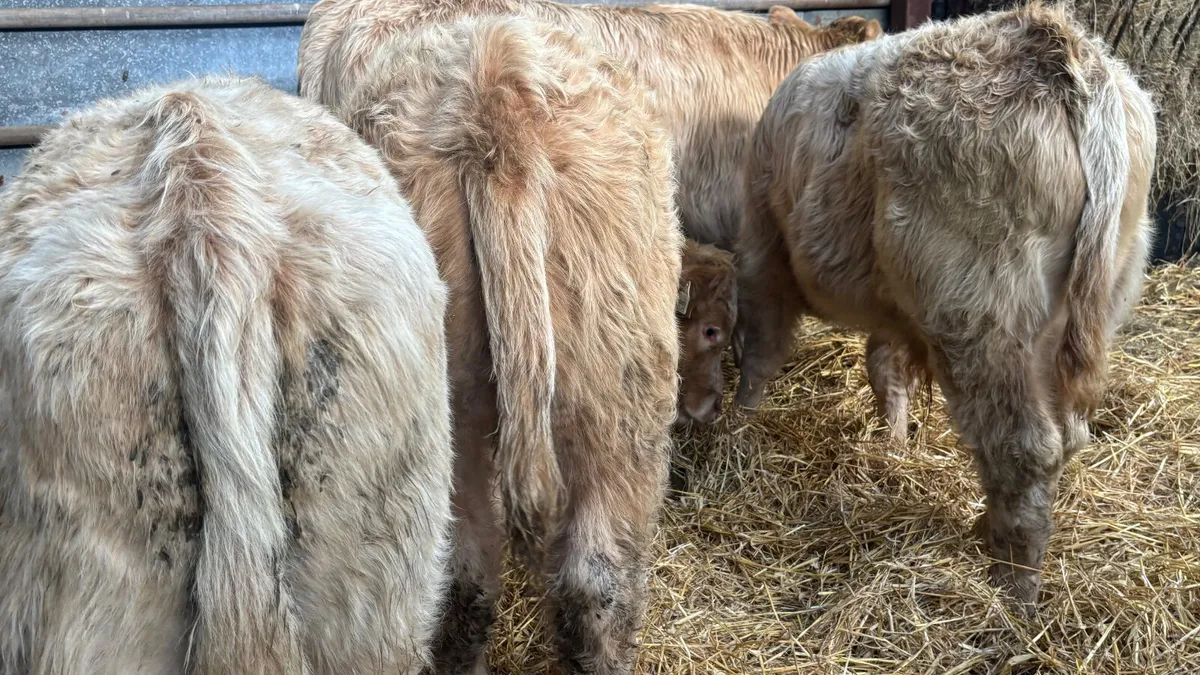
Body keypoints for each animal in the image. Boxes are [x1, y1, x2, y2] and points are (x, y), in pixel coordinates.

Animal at [734, 4, 1156, 610]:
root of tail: (1051, 40)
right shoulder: (895, 304)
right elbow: (886, 368)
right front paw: (893, 442)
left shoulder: (763, 246)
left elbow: (761, 350)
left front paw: (737, 425)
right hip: (1087, 305)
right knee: (1068, 435)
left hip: (981, 315)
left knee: (1026, 445)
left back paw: (1013, 584)